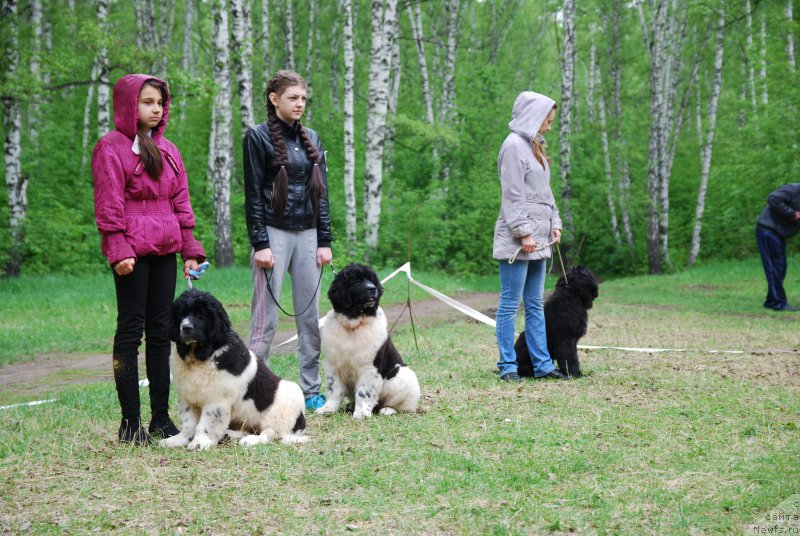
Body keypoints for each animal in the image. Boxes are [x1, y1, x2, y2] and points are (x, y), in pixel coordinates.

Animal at [158, 292, 308, 450]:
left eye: (200, 315)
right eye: (180, 315)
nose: (186, 327)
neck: (200, 356)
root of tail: (301, 423)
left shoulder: (216, 401)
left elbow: (206, 424)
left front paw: (200, 442)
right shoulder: (187, 398)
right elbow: (188, 423)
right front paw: (178, 440)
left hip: (286, 403)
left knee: (269, 434)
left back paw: (250, 440)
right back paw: (229, 435)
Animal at [316, 264, 422, 418]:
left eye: (372, 280)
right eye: (356, 281)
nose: (373, 288)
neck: (353, 325)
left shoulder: (369, 368)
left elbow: (364, 392)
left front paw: (361, 413)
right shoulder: (332, 365)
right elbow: (334, 390)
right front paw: (327, 409)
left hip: (404, 375)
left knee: (402, 406)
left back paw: (387, 410)